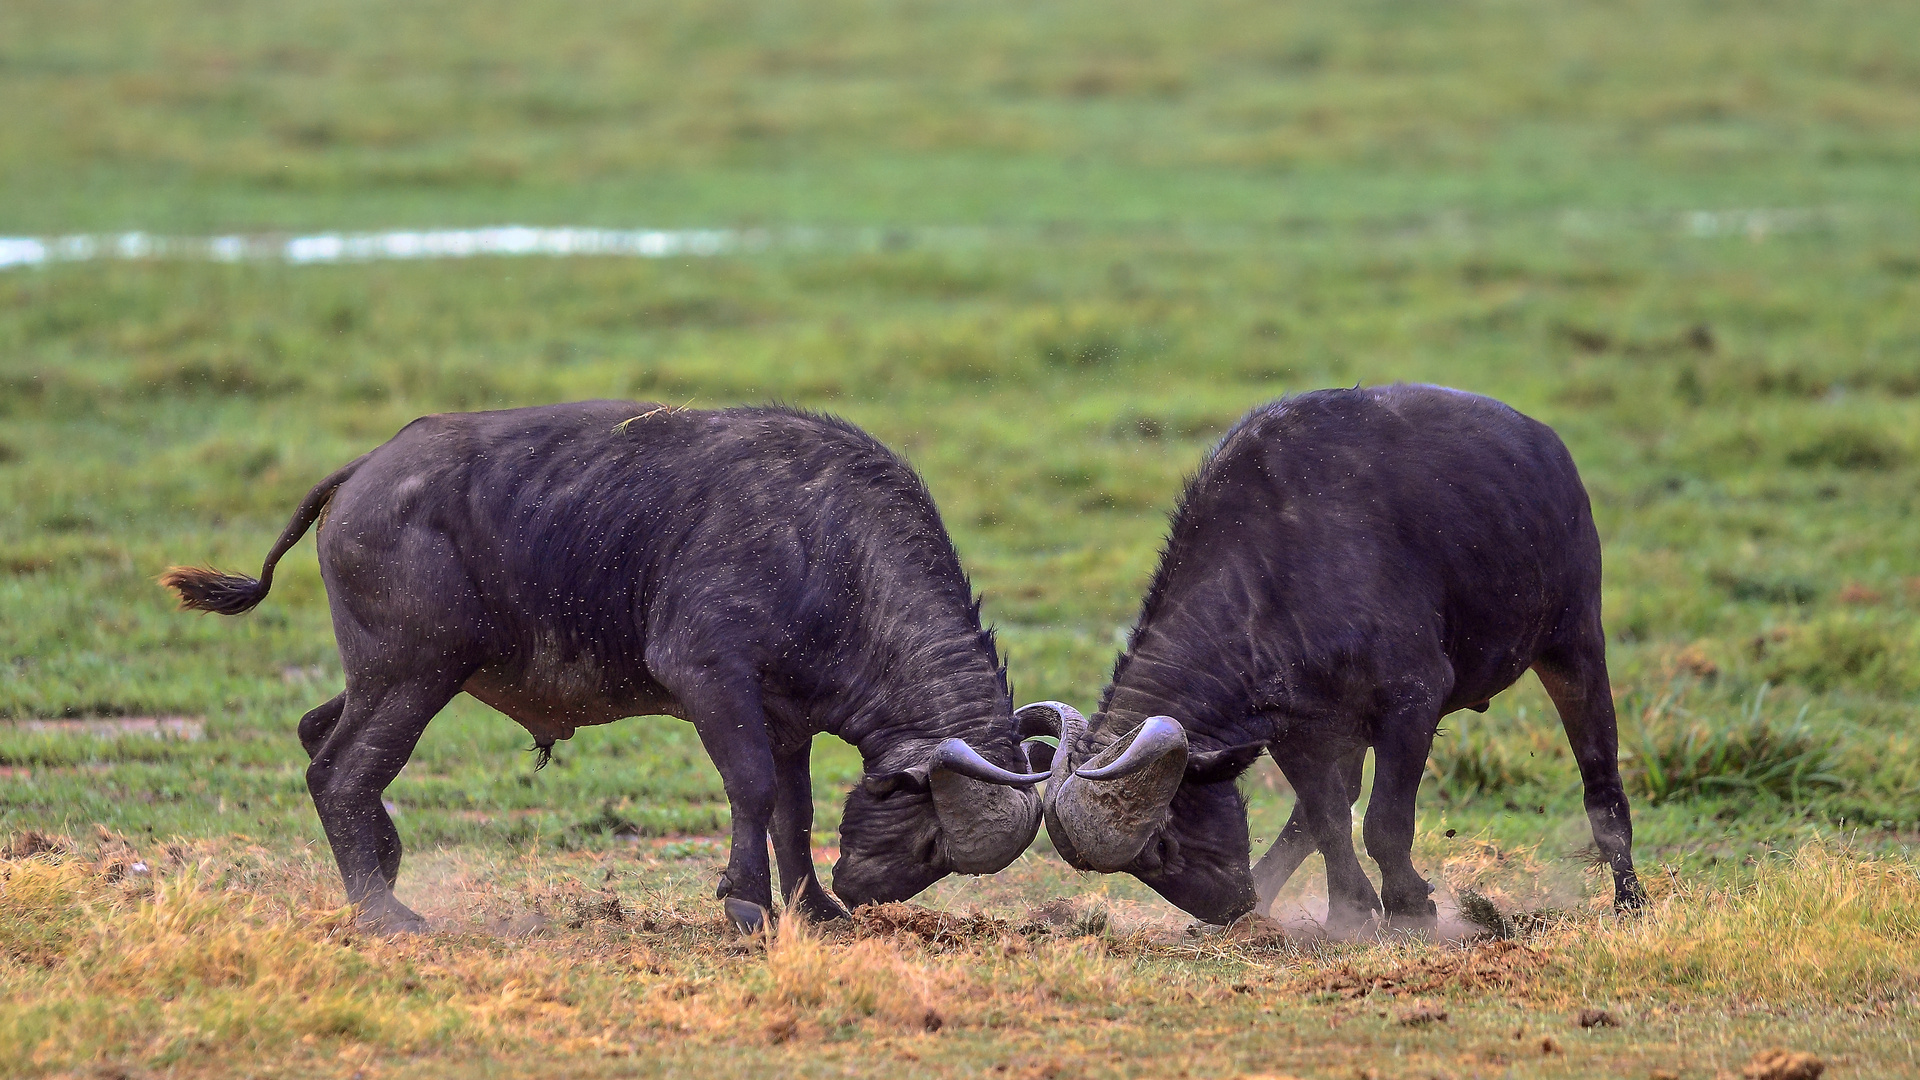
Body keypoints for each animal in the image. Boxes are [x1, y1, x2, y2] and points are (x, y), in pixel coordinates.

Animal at [161, 399, 1052, 930]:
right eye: (934, 839)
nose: (870, 891)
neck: (828, 548)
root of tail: (364, 471)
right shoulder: (709, 677)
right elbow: (751, 790)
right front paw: (746, 905)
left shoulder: (788, 717)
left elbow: (792, 812)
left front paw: (815, 907)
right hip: (415, 673)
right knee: (340, 772)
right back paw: (384, 912)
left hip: (382, 677)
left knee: (316, 733)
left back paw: (386, 865)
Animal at [1036, 384, 1651, 926]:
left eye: (1160, 847)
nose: (1226, 908)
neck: (1273, 574)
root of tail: (1547, 449)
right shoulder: (1296, 730)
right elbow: (1329, 819)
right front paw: (1349, 911)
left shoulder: (1412, 703)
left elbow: (1383, 823)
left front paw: (1408, 908)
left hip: (1574, 642)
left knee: (1602, 786)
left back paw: (1630, 901)